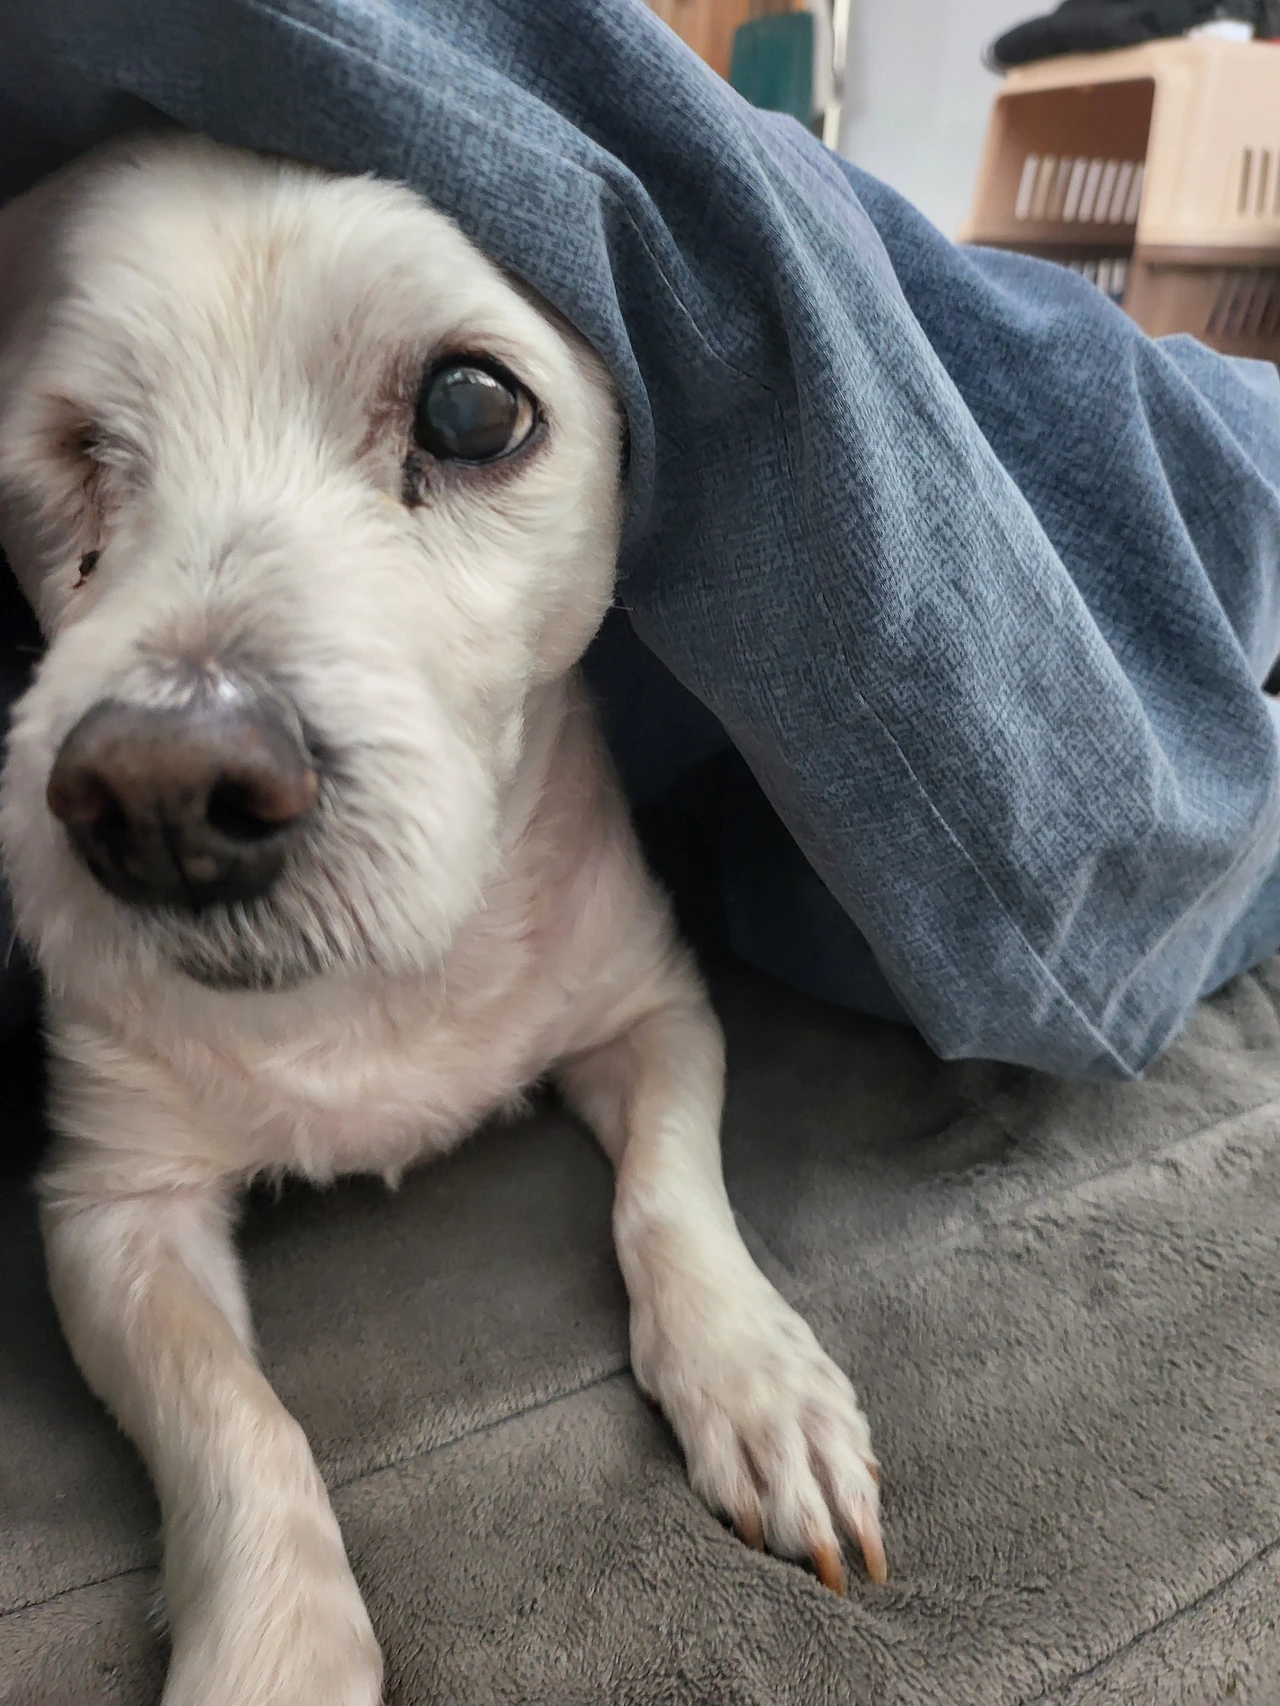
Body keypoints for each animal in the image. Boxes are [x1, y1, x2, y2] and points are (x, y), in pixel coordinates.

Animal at [0, 134, 885, 1706]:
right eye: (69, 456)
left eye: (472, 408)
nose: (160, 797)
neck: (389, 978)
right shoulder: (110, 1207)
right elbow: (233, 1418)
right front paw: (277, 1656)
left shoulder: (657, 1012)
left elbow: (670, 1195)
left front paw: (759, 1377)